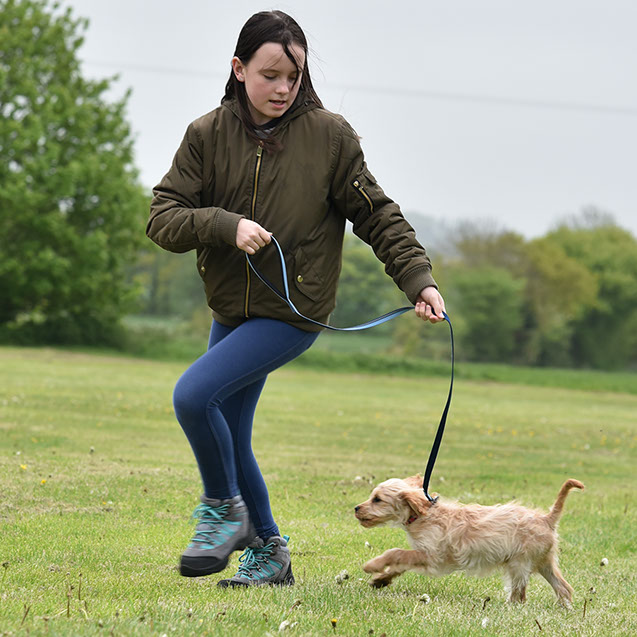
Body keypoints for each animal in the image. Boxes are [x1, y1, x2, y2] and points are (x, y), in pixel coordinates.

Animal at [352, 474, 580, 604]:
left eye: (377, 499)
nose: (356, 508)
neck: (424, 514)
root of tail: (547, 518)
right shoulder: (423, 555)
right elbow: (399, 565)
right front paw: (381, 580)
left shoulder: (432, 557)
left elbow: (396, 553)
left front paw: (374, 565)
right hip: (544, 564)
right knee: (564, 588)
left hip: (519, 564)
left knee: (520, 596)